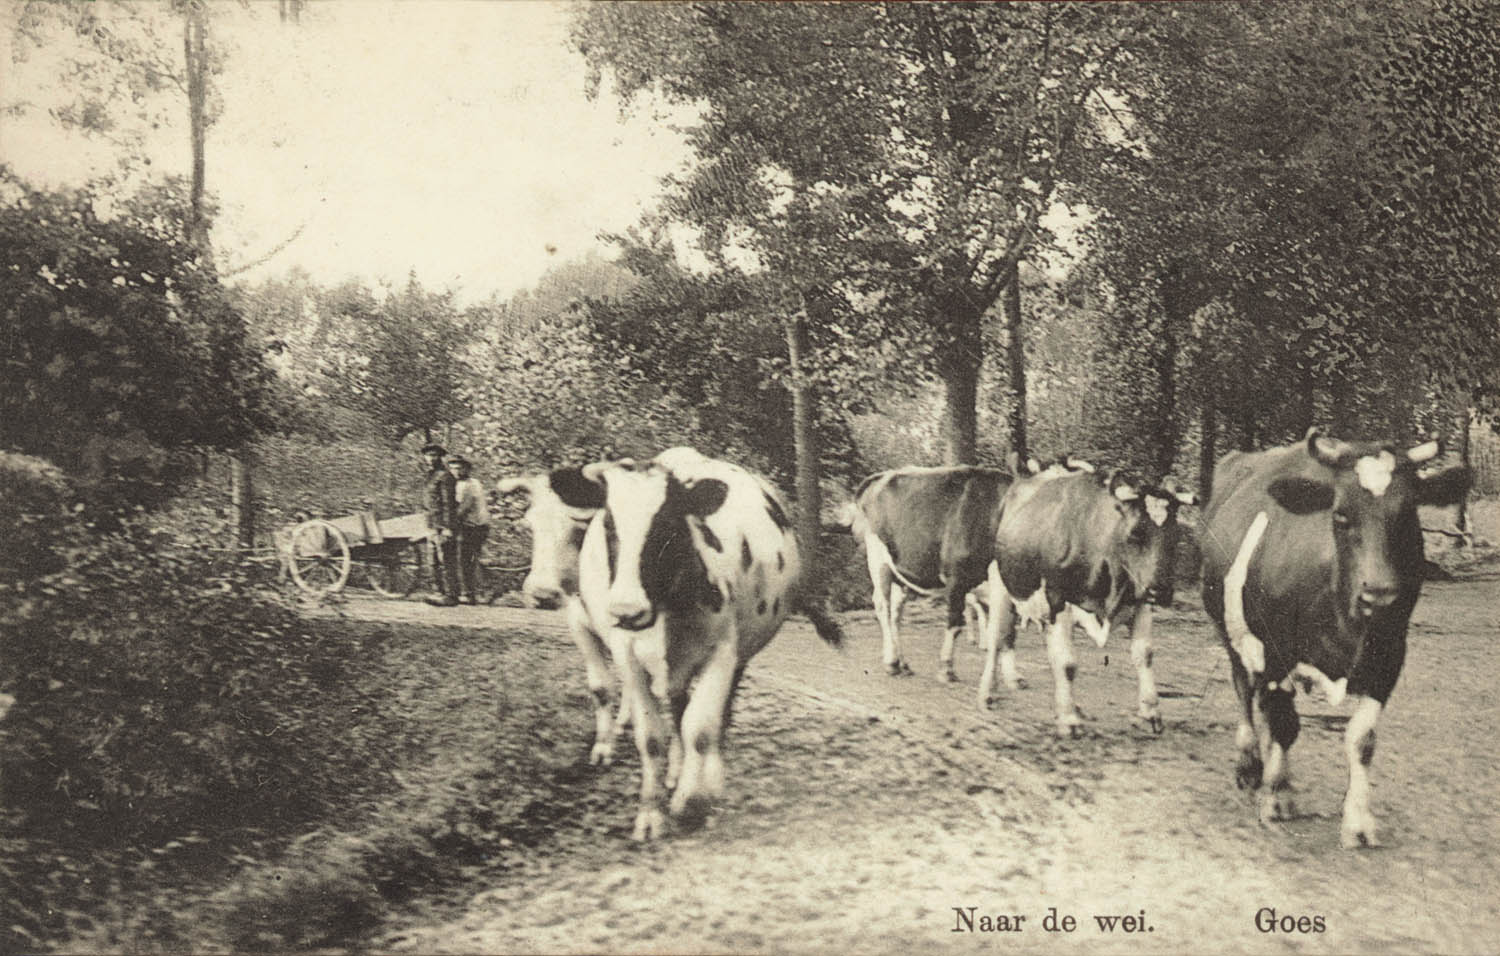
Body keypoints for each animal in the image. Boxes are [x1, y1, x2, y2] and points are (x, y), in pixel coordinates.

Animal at [555, 444, 846, 834]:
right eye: (609, 524)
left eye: (667, 524)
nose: (627, 609)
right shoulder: (627, 656)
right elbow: (651, 737)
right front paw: (651, 813)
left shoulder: (722, 652)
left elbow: (701, 728)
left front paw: (693, 801)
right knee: (677, 707)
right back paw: (676, 772)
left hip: (741, 653)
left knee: (716, 716)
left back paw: (708, 778)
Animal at [852, 456, 1098, 678]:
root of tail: (880, 476)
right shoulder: (956, 577)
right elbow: (955, 622)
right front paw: (947, 668)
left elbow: (1007, 631)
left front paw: (1013, 676)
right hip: (878, 559)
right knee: (882, 607)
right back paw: (892, 662)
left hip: (902, 571)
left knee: (896, 612)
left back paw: (903, 663)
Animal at [978, 465, 1200, 735]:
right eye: (1134, 534)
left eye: (1175, 535)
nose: (1161, 591)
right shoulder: (1058, 599)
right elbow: (1067, 663)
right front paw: (1069, 719)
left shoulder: (1140, 602)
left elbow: (1144, 655)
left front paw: (1150, 712)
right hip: (1000, 584)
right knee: (998, 637)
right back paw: (987, 693)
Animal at [1200, 429, 1470, 846]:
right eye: (1341, 515)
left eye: (1408, 513)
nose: (1379, 595)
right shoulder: (1274, 651)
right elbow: (1284, 723)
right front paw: (1277, 796)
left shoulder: (1390, 655)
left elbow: (1361, 739)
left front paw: (1358, 822)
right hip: (1231, 631)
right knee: (1244, 691)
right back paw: (1250, 766)